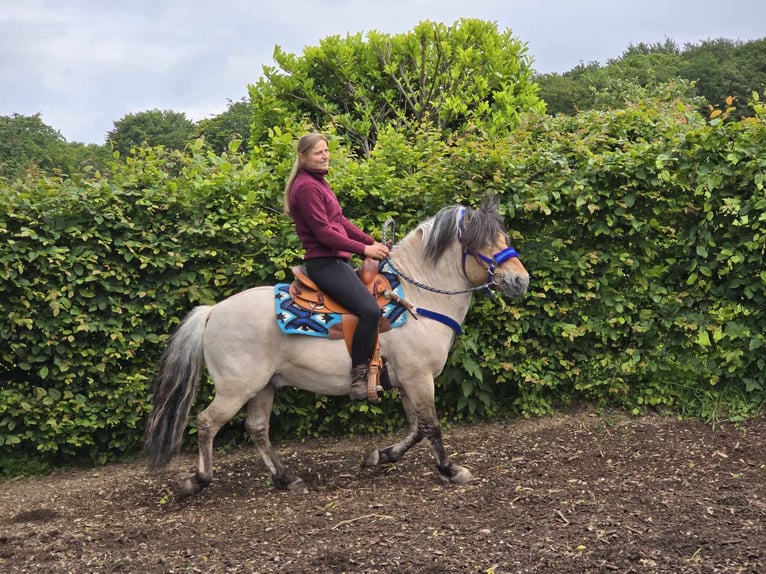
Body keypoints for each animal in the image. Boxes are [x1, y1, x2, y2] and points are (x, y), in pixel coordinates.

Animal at [146, 198, 528, 500]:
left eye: (503, 237)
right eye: (482, 242)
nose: (520, 280)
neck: (417, 296)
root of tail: (212, 312)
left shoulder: (406, 379)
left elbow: (417, 428)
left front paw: (379, 456)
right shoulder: (418, 378)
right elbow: (432, 426)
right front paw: (450, 470)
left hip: (263, 385)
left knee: (257, 428)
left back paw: (286, 478)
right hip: (237, 387)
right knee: (207, 422)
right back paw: (197, 481)